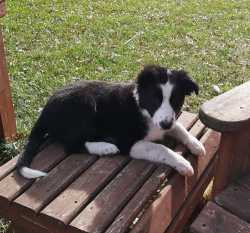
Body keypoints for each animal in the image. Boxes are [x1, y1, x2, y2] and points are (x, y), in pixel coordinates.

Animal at [17, 64, 205, 179]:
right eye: (154, 100)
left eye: (175, 101)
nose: (165, 124)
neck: (143, 109)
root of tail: (44, 112)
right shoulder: (128, 143)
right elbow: (160, 148)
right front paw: (182, 163)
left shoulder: (168, 122)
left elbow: (179, 128)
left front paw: (196, 144)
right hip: (85, 104)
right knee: (72, 146)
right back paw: (105, 147)